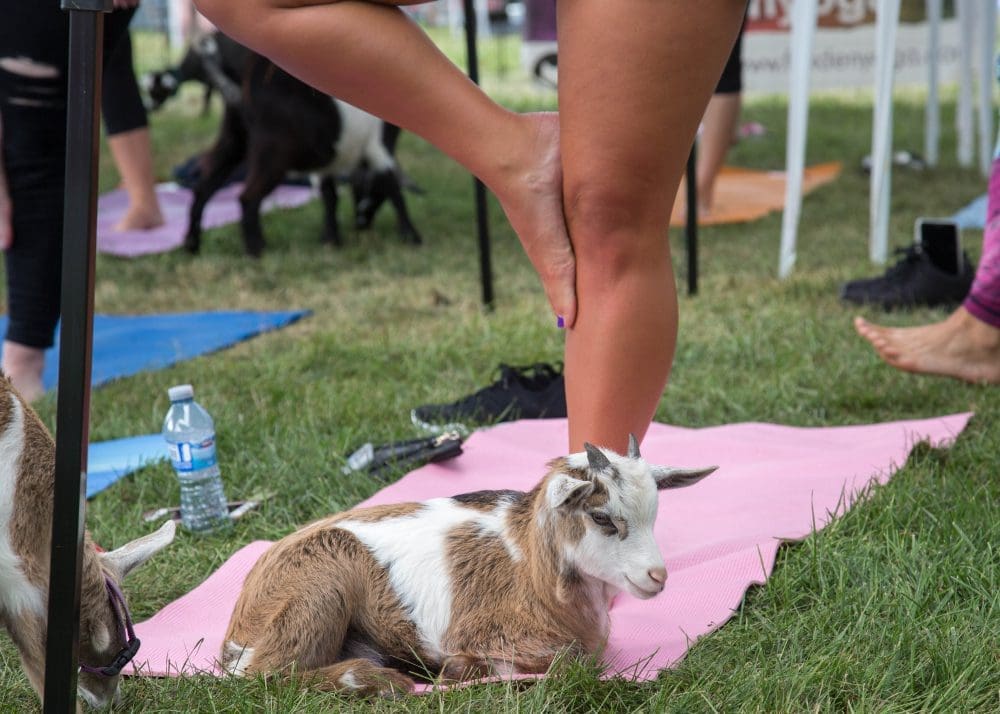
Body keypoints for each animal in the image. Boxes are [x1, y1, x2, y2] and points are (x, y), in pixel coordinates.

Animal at [223, 434, 716, 696]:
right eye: (601, 517)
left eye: (655, 512)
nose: (657, 576)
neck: (529, 569)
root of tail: (238, 625)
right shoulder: (485, 630)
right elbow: (568, 662)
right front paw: (462, 670)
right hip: (317, 590)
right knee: (265, 675)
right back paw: (379, 679)